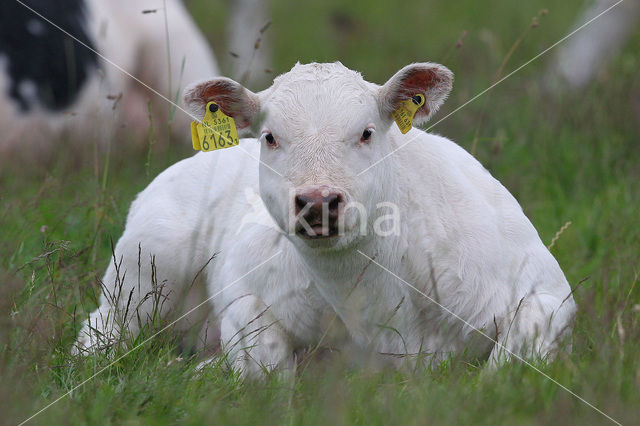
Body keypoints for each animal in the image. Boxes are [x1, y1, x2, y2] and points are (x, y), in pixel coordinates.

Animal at [74, 62, 576, 376]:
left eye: (367, 132)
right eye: (271, 137)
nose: (317, 201)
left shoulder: (549, 294)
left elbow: (504, 366)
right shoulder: (245, 295)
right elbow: (266, 370)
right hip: (144, 270)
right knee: (101, 333)